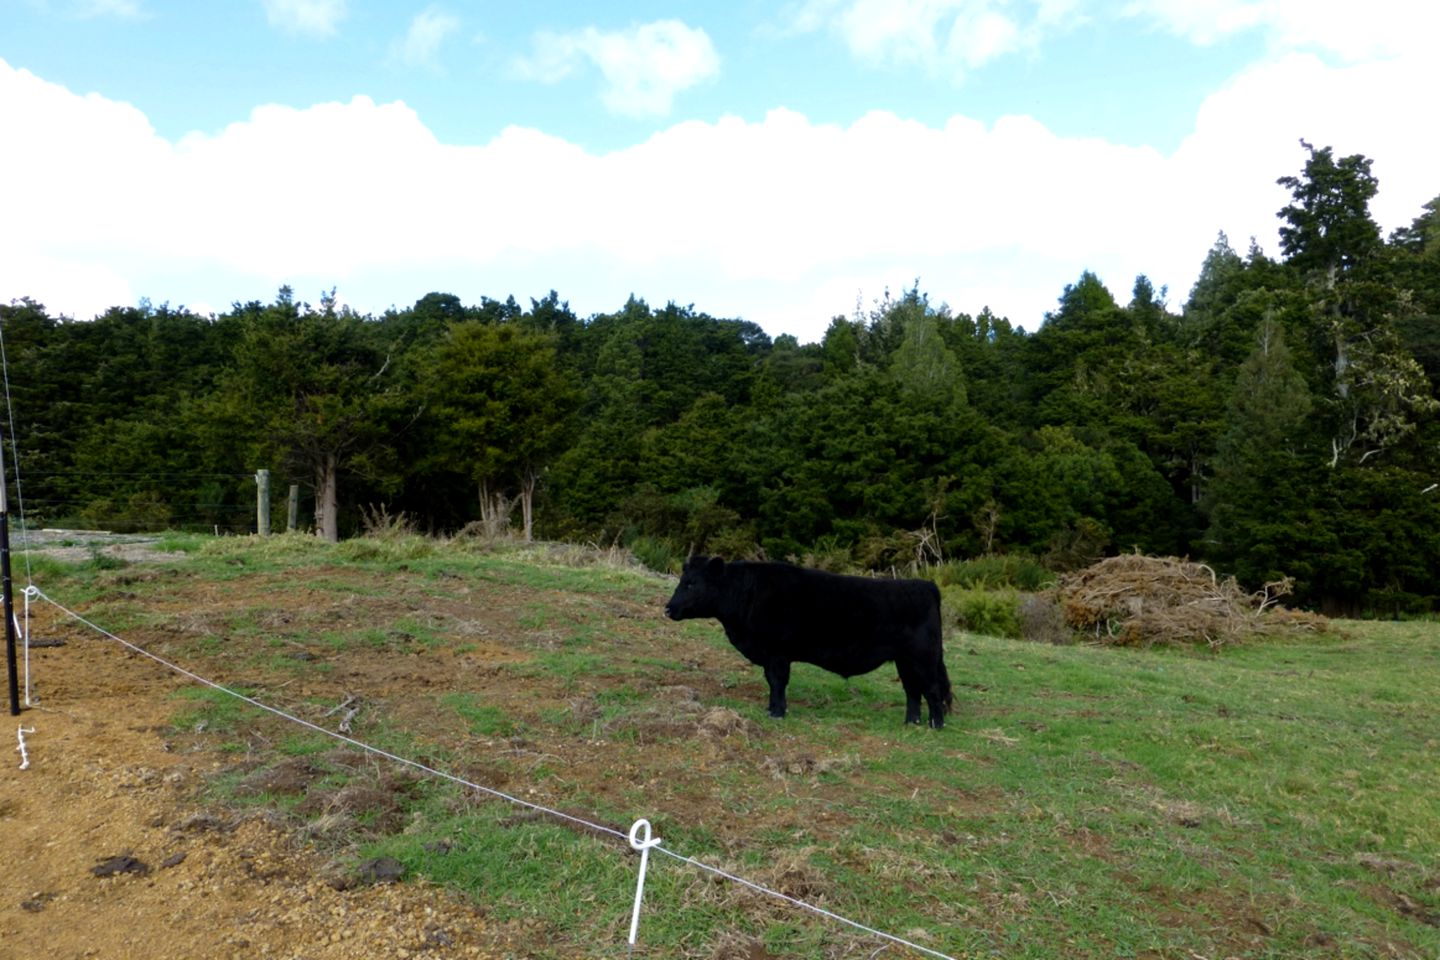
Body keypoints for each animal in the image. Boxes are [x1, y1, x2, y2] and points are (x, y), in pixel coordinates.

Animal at [665, 555, 956, 728]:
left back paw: (935, 725)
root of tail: (926, 585)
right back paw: (911, 723)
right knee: (912, 690)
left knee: (932, 690)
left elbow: (777, 682)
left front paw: (777, 712)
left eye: (692, 583)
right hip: (904, 660)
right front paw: (771, 709)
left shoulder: (777, 653)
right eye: (682, 581)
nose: (668, 608)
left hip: (923, 657)